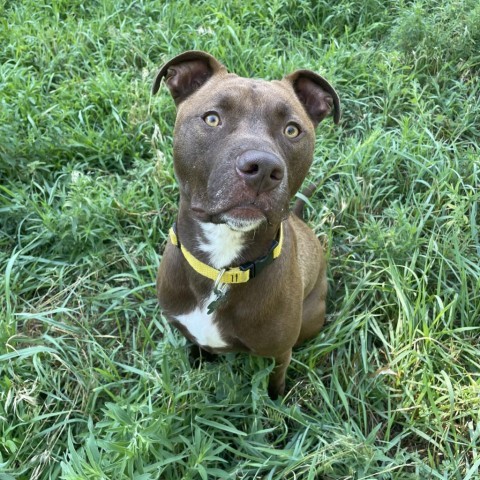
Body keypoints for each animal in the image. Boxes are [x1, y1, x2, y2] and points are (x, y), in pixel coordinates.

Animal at [152, 50, 340, 400]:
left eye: (292, 130)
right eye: (212, 119)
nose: (263, 169)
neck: (222, 267)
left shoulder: (280, 351)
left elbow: (276, 378)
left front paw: (277, 401)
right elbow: (197, 346)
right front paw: (199, 362)